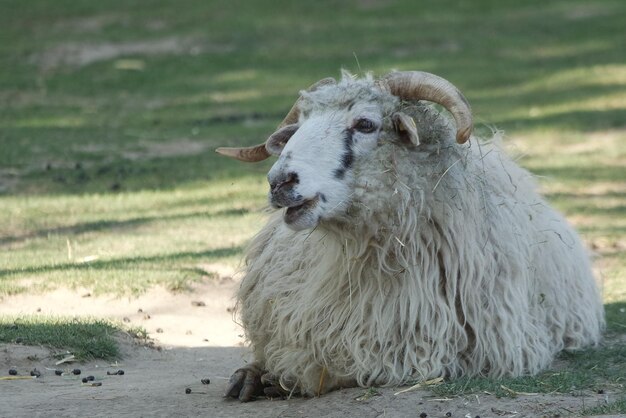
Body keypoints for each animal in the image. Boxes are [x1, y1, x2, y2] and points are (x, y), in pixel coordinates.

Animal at [216, 71, 604, 402]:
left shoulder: (449, 350)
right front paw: (257, 373)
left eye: (365, 123)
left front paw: (292, 375)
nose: (279, 182)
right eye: (300, 126)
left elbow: (350, 364)